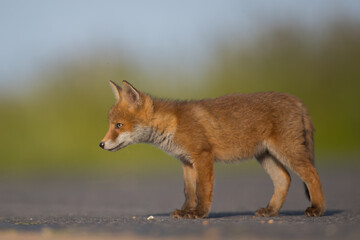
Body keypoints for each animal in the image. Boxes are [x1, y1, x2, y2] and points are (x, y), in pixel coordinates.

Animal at [100, 79, 324, 218]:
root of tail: (296, 100)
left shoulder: (202, 156)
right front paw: (185, 212)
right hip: (266, 156)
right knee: (283, 179)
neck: (173, 124)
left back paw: (318, 208)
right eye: (110, 125)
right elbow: (189, 192)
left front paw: (199, 213)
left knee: (312, 175)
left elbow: (203, 189)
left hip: (287, 152)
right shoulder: (186, 162)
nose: (101, 144)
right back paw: (271, 211)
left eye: (118, 125)